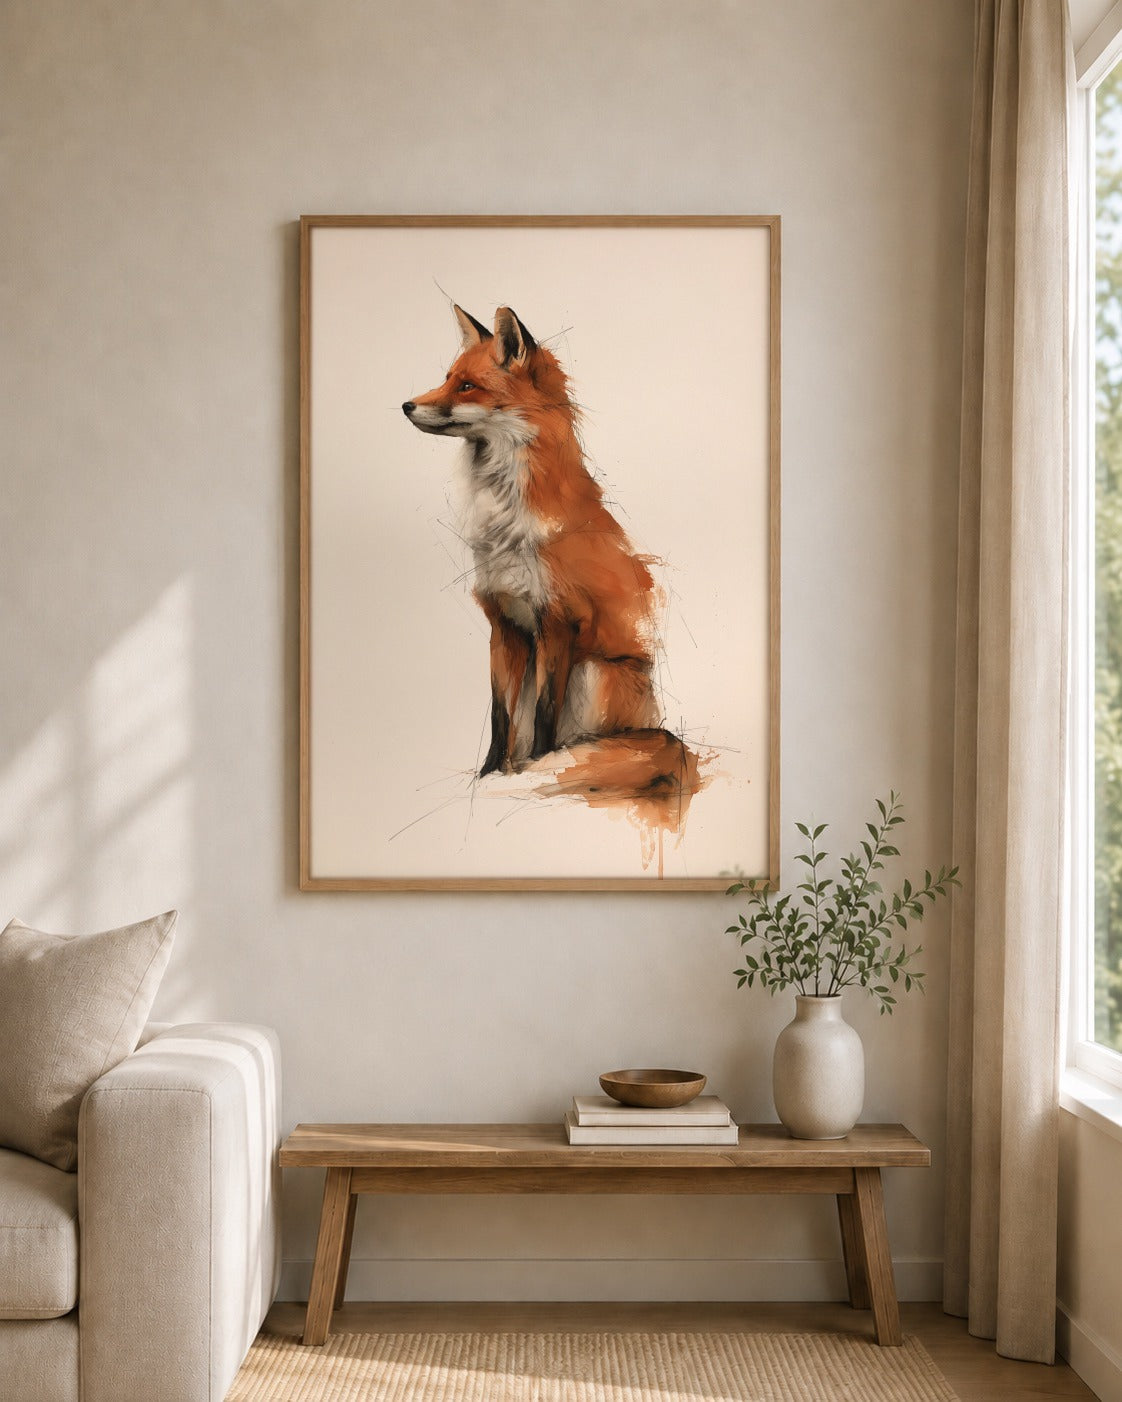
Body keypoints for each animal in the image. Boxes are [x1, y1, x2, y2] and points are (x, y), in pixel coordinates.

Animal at [402, 304, 700, 815]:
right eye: (446, 379)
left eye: (467, 387)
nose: (405, 405)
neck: (505, 518)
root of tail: (660, 733)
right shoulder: (504, 623)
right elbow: (501, 720)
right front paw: (489, 774)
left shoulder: (558, 620)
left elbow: (545, 717)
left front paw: (536, 769)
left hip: (595, 671)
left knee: (586, 739)